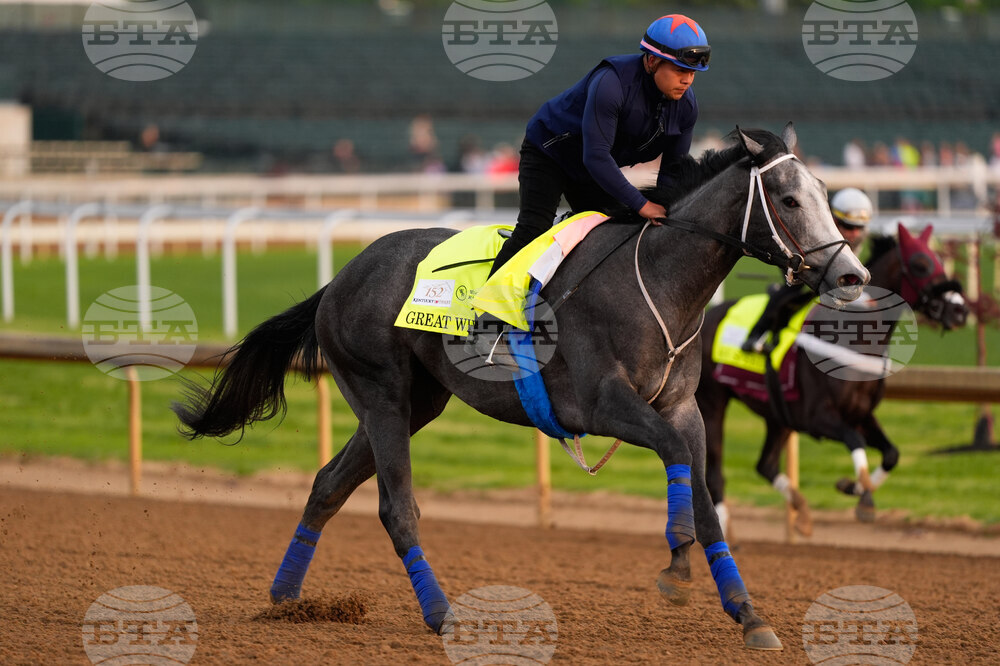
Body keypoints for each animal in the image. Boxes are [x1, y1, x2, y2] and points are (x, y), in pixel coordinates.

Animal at [172, 125, 869, 652]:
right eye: (787, 199)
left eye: (823, 192)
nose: (851, 274)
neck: (657, 281)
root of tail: (340, 277)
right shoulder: (603, 406)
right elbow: (674, 463)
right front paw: (675, 567)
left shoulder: (680, 410)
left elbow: (703, 497)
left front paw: (749, 615)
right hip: (383, 395)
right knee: (396, 509)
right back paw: (442, 614)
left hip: (413, 403)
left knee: (327, 485)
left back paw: (286, 598)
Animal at [696, 224, 967, 536]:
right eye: (920, 264)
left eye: (939, 260)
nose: (960, 310)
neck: (856, 338)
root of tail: (706, 316)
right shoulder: (818, 418)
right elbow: (854, 440)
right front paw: (862, 494)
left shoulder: (860, 414)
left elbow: (892, 454)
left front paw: (854, 488)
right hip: (712, 404)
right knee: (715, 474)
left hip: (777, 414)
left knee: (765, 464)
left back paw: (801, 512)